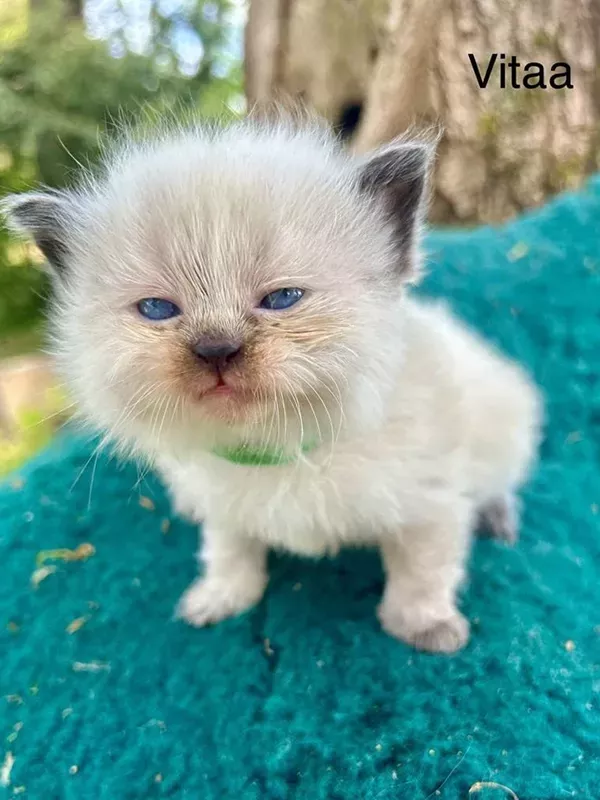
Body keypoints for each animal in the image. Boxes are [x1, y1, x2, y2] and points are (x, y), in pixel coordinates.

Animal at [2, 115, 540, 652]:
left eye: (283, 298)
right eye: (157, 309)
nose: (216, 350)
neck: (279, 448)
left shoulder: (430, 507)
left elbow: (422, 573)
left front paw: (425, 627)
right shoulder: (225, 507)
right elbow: (230, 553)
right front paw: (219, 599)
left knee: (499, 483)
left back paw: (497, 520)